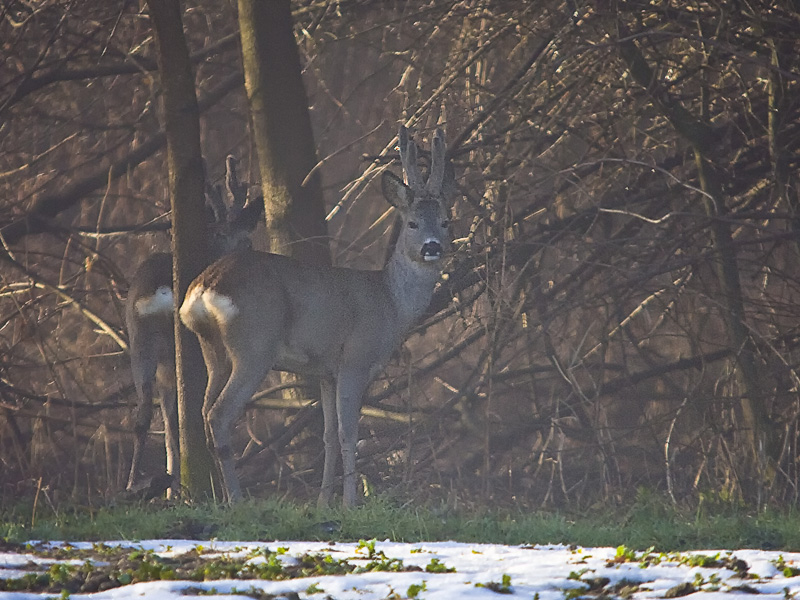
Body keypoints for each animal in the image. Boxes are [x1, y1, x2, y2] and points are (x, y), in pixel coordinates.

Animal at [125, 157, 262, 494]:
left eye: (247, 239)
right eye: (224, 235)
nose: (245, 254)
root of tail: (161, 291)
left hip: (141, 341)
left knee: (146, 414)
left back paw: (138, 484)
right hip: (184, 346)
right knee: (184, 410)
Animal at [180, 126, 456, 506]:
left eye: (445, 221)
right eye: (412, 223)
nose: (432, 247)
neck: (390, 303)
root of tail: (205, 286)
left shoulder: (325, 372)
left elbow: (326, 434)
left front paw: (324, 501)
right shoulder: (355, 357)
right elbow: (348, 432)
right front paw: (350, 502)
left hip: (213, 350)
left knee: (203, 414)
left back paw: (218, 498)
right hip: (254, 346)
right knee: (220, 414)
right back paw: (236, 500)